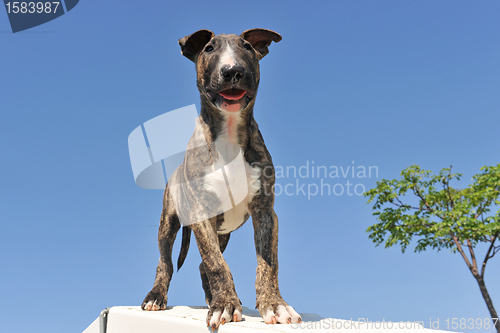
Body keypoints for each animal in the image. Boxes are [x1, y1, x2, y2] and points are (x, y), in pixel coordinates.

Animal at [141, 29, 300, 330]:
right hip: (168, 221)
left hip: (223, 231)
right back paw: (156, 296)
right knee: (165, 262)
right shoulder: (201, 212)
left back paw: (211, 298)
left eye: (247, 47)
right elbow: (215, 263)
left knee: (203, 264)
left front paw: (274, 305)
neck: (228, 132)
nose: (232, 71)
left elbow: (267, 263)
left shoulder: (265, 211)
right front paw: (225, 304)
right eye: (209, 48)